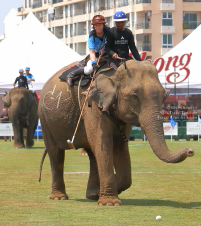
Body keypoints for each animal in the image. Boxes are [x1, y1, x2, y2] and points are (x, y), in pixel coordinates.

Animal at [38, 59, 194, 206]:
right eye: (134, 96)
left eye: (165, 96)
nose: (190, 151)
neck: (114, 72)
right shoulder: (91, 103)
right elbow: (102, 142)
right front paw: (109, 202)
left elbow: (119, 147)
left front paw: (101, 194)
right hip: (45, 119)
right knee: (55, 153)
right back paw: (59, 197)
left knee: (92, 154)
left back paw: (92, 194)